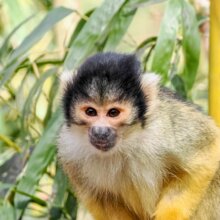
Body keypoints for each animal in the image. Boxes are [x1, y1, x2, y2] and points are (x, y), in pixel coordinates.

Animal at [57, 52, 220, 219]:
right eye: (91, 112)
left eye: (113, 112)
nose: (100, 131)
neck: (125, 141)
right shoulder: (69, 150)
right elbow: (100, 197)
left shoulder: (163, 126)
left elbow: (207, 148)